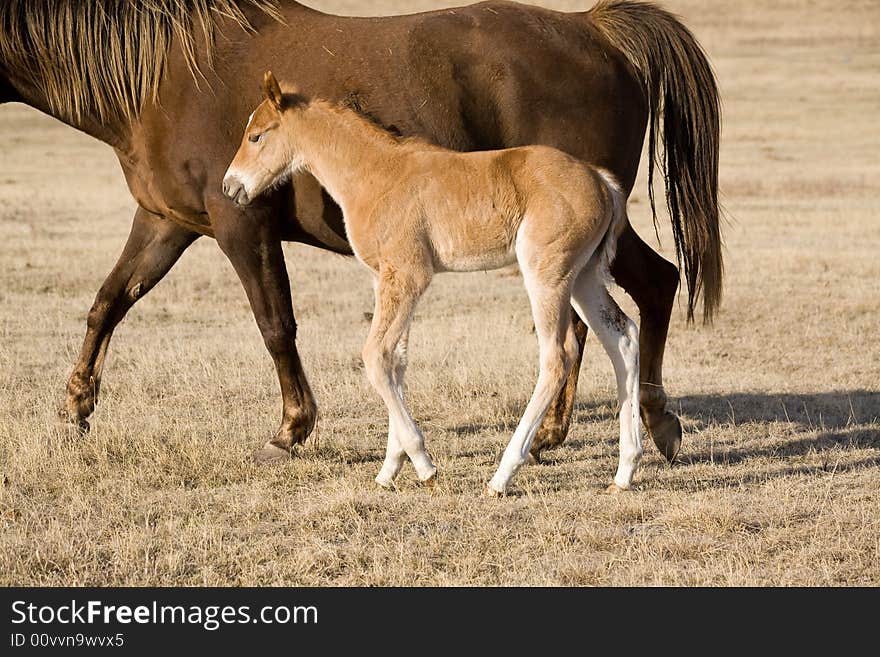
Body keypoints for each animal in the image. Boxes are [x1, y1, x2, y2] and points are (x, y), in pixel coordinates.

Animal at [223, 73, 644, 492]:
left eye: (256, 136)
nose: (230, 187)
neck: (375, 173)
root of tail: (601, 181)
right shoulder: (387, 280)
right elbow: (396, 360)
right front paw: (389, 469)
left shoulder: (408, 275)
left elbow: (375, 356)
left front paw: (423, 464)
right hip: (583, 276)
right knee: (622, 336)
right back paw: (625, 470)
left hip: (546, 274)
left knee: (557, 355)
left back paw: (502, 475)